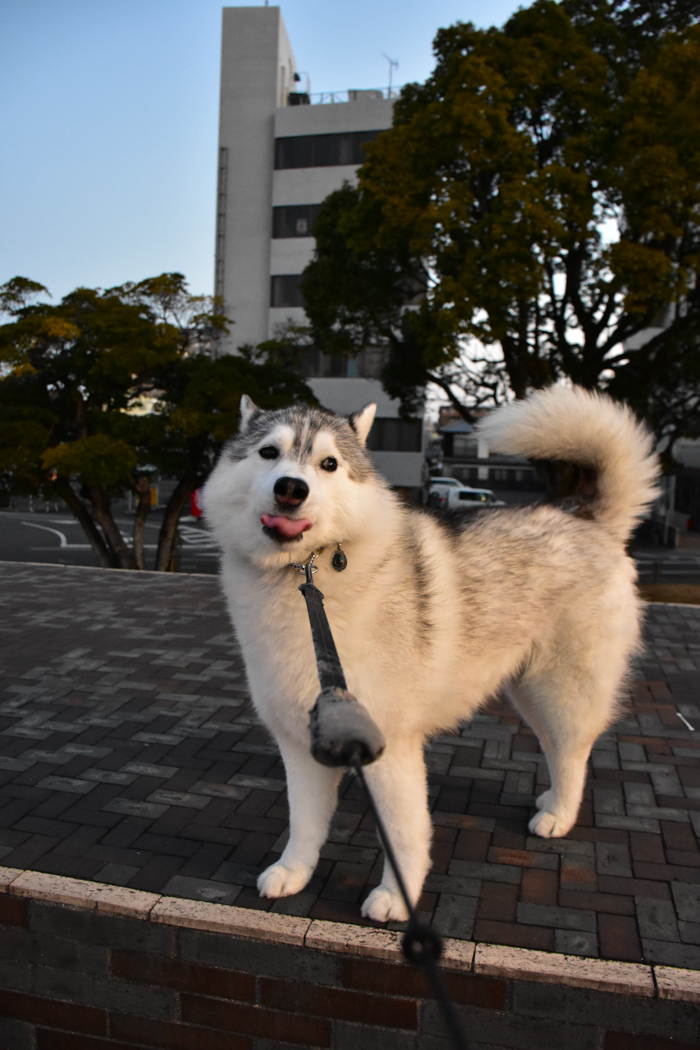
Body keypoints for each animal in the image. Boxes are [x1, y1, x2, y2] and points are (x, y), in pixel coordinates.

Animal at [202, 386, 659, 919]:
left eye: (329, 464)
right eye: (268, 453)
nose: (291, 488)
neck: (306, 579)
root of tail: (588, 518)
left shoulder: (391, 750)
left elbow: (403, 834)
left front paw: (396, 898)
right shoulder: (299, 745)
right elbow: (304, 822)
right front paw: (294, 871)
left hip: (561, 689)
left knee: (573, 751)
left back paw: (560, 816)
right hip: (529, 692)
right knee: (555, 747)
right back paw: (550, 802)